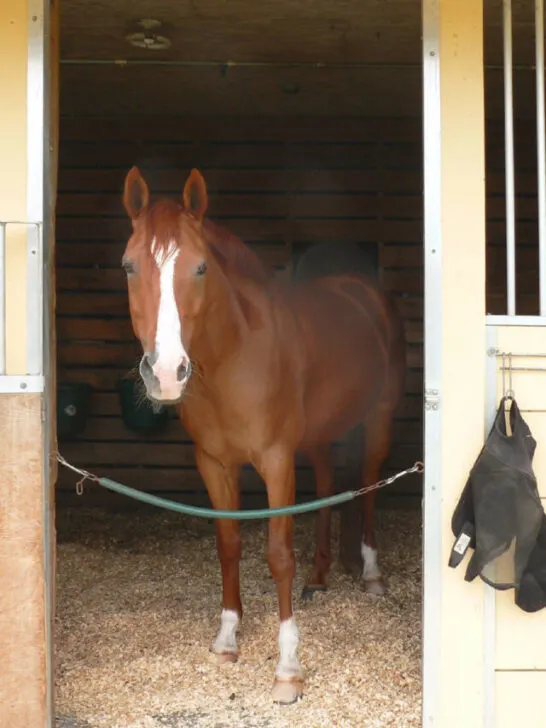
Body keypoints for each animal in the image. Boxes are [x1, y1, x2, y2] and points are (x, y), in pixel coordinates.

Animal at [121, 166, 407, 705]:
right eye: (129, 266)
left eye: (200, 268)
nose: (166, 372)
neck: (233, 356)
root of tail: (362, 290)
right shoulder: (214, 462)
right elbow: (228, 543)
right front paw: (227, 638)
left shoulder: (275, 460)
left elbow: (278, 555)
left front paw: (288, 669)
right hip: (318, 436)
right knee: (326, 485)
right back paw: (320, 577)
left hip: (378, 420)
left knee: (367, 485)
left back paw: (371, 574)